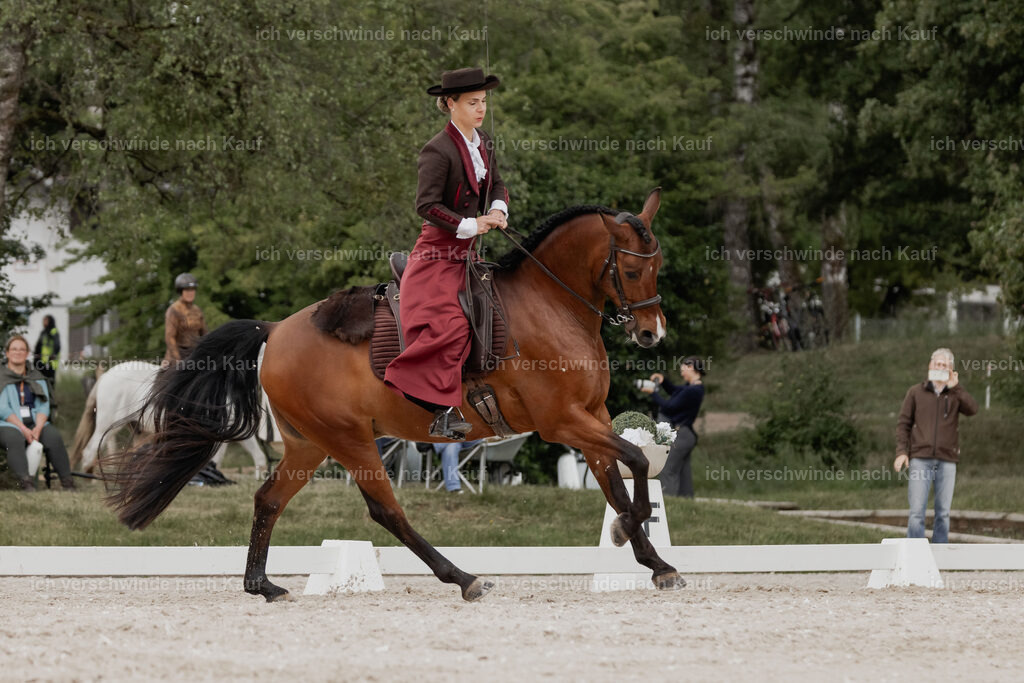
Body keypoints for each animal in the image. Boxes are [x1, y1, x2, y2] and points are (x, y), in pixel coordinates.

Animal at [105, 188, 684, 602]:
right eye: (632, 269)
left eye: (658, 267)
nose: (651, 334)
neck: (550, 306)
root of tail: (276, 329)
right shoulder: (562, 420)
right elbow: (636, 461)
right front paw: (629, 532)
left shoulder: (592, 415)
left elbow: (616, 479)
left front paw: (656, 563)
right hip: (352, 441)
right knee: (387, 512)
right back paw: (463, 578)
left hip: (309, 444)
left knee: (268, 498)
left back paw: (262, 585)